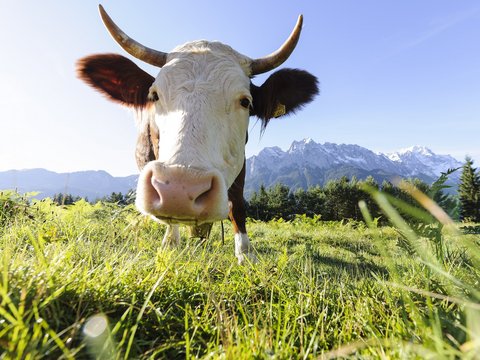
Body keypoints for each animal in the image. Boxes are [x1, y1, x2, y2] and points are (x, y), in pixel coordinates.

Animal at [78, 5, 318, 262]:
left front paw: (245, 254)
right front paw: (170, 244)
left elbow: (238, 206)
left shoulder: (241, 162)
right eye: (154, 95)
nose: (180, 190)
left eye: (245, 101)